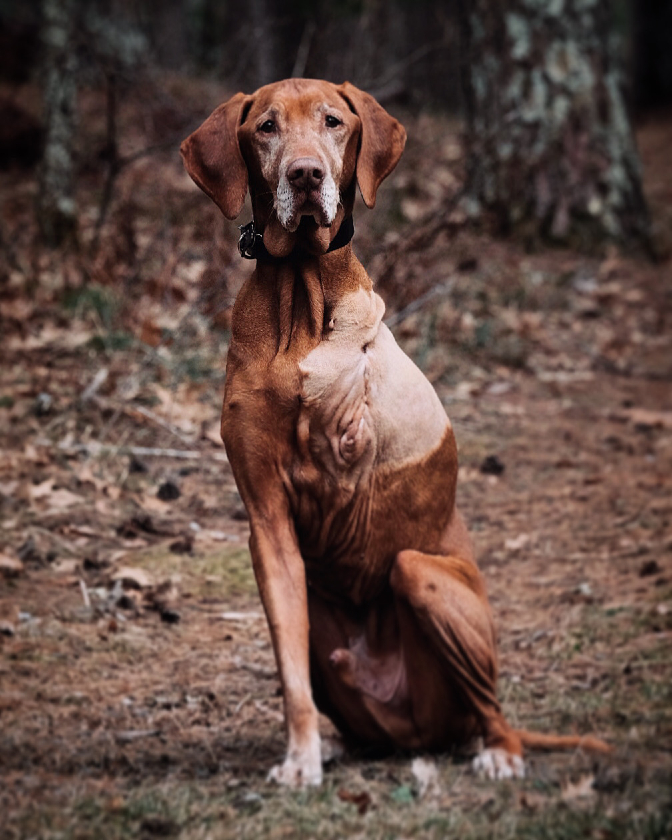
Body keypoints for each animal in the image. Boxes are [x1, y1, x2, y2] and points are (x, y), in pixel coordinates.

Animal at [181, 79, 612, 788]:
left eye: (332, 121)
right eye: (266, 127)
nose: (306, 176)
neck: (300, 291)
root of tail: (418, 733)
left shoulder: (354, 433)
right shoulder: (267, 523)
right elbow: (289, 666)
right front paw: (300, 757)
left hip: (425, 581)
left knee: (490, 706)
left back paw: (500, 751)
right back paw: (340, 745)